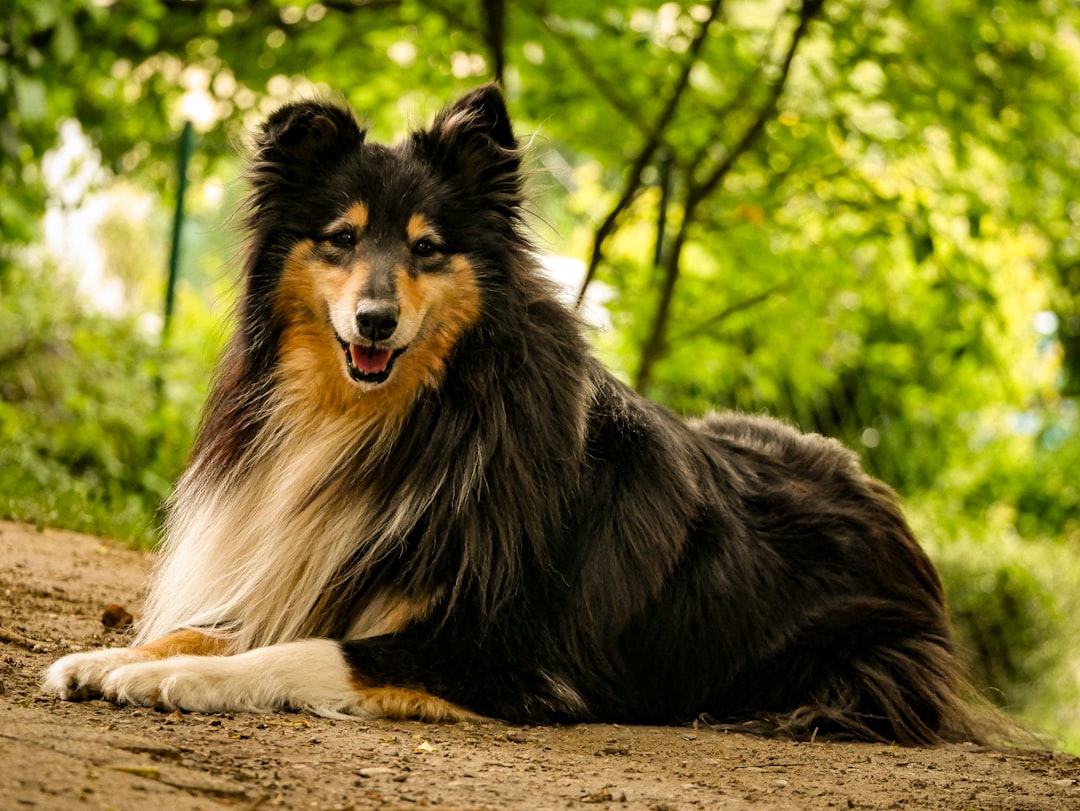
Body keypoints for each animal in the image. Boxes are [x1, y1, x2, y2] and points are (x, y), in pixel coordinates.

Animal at [42, 85, 989, 747]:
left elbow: (303, 650)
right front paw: (108, 656)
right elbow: (201, 628)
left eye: (427, 248)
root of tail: (888, 509)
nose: (375, 322)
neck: (405, 416)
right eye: (341, 237)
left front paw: (180, 681)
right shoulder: (321, 567)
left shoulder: (499, 652)